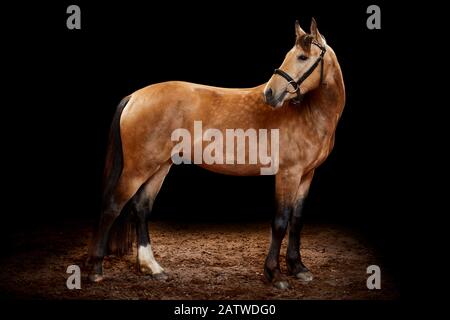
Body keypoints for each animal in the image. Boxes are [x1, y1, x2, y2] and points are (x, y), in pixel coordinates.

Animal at [87, 19, 344, 290]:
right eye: (290, 55)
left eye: (303, 57)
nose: (270, 94)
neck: (310, 114)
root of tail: (134, 96)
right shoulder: (288, 174)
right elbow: (280, 222)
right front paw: (275, 274)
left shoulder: (306, 175)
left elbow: (296, 220)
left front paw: (298, 268)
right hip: (137, 168)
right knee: (112, 206)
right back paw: (96, 269)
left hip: (160, 166)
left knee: (141, 208)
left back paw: (151, 267)